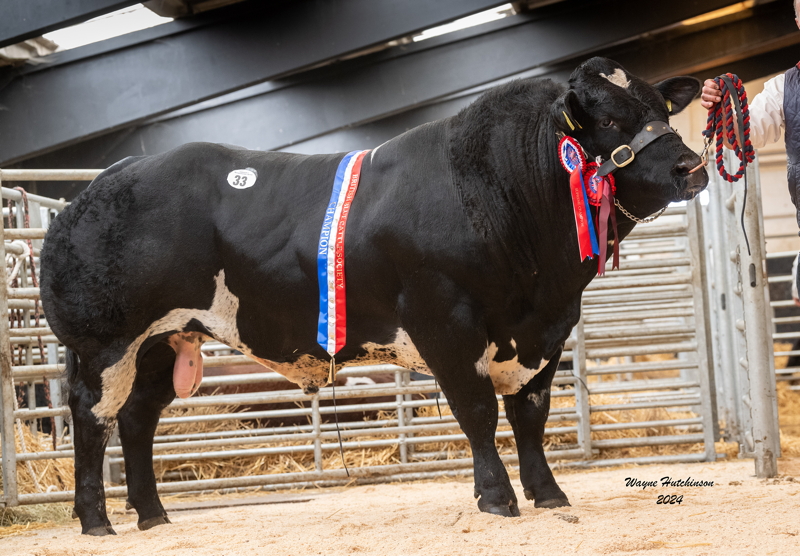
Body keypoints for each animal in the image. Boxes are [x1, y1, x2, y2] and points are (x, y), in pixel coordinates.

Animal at [42, 58, 708, 536]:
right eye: (610, 120)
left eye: (659, 109)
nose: (691, 166)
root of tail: (99, 184)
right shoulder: (445, 323)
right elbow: (478, 413)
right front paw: (497, 498)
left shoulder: (546, 332)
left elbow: (531, 414)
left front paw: (548, 494)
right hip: (107, 342)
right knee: (92, 417)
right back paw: (97, 521)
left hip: (164, 340)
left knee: (137, 418)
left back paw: (153, 515)